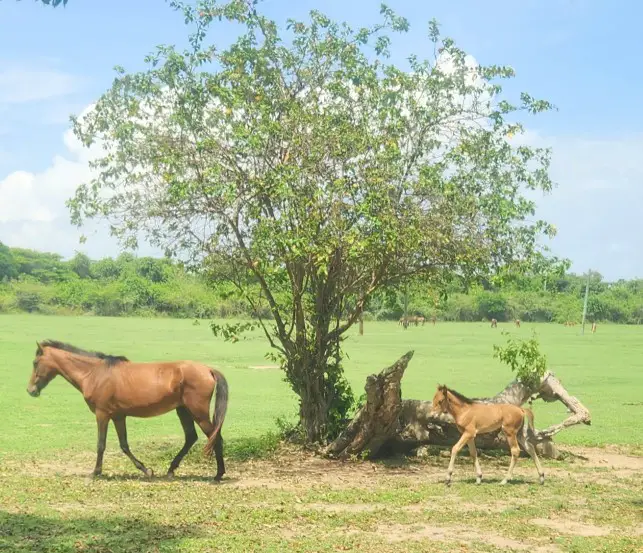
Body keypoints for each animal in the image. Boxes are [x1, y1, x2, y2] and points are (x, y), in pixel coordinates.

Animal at [27, 338, 229, 476]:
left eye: (35, 363)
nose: (31, 391)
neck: (94, 373)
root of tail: (208, 370)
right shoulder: (118, 416)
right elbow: (124, 444)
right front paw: (146, 470)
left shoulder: (102, 414)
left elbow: (101, 444)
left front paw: (96, 472)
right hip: (183, 410)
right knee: (191, 437)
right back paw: (172, 470)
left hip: (197, 412)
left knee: (215, 437)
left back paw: (218, 475)